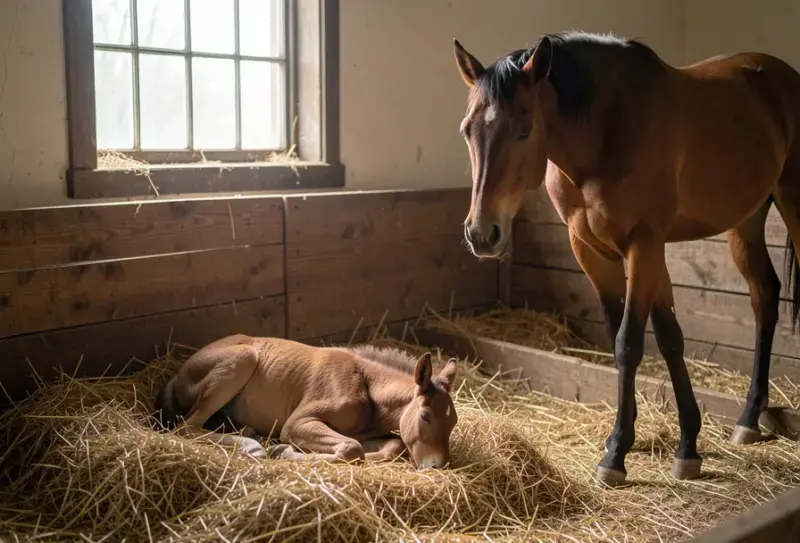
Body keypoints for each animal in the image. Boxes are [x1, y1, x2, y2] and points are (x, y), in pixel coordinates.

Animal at [153, 334, 459, 469]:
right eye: (425, 416)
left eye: (453, 422)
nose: (438, 466)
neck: (367, 386)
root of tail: (175, 377)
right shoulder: (298, 422)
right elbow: (352, 449)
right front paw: (283, 451)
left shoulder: (368, 433)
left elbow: (389, 445)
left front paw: (282, 450)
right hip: (242, 358)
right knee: (186, 427)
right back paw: (253, 446)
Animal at [452, 30, 800, 486]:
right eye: (466, 131)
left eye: (524, 130)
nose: (481, 233)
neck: (606, 128)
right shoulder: (594, 251)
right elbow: (663, 337)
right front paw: (686, 443)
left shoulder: (644, 245)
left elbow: (629, 343)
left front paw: (617, 453)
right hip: (746, 222)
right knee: (764, 296)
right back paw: (748, 418)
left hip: (795, 204)